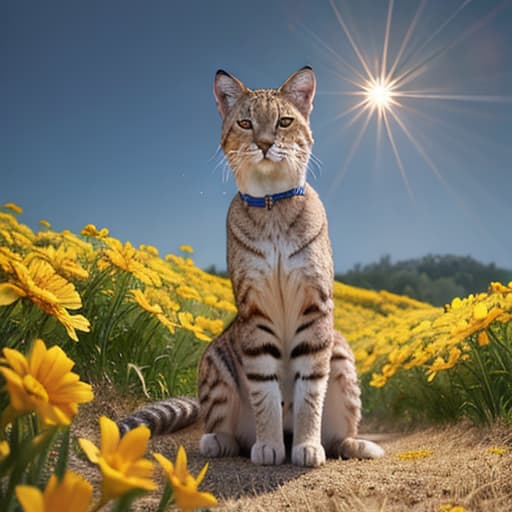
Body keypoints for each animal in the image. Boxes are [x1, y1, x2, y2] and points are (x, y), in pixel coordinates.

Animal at [118, 66, 382, 466]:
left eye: (284, 121)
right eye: (245, 122)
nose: (264, 143)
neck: (272, 206)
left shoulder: (315, 307)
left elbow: (310, 395)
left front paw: (306, 446)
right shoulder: (255, 310)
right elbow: (265, 394)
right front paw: (270, 444)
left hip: (341, 354)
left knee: (339, 435)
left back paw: (355, 445)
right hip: (215, 363)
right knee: (226, 431)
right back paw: (221, 441)